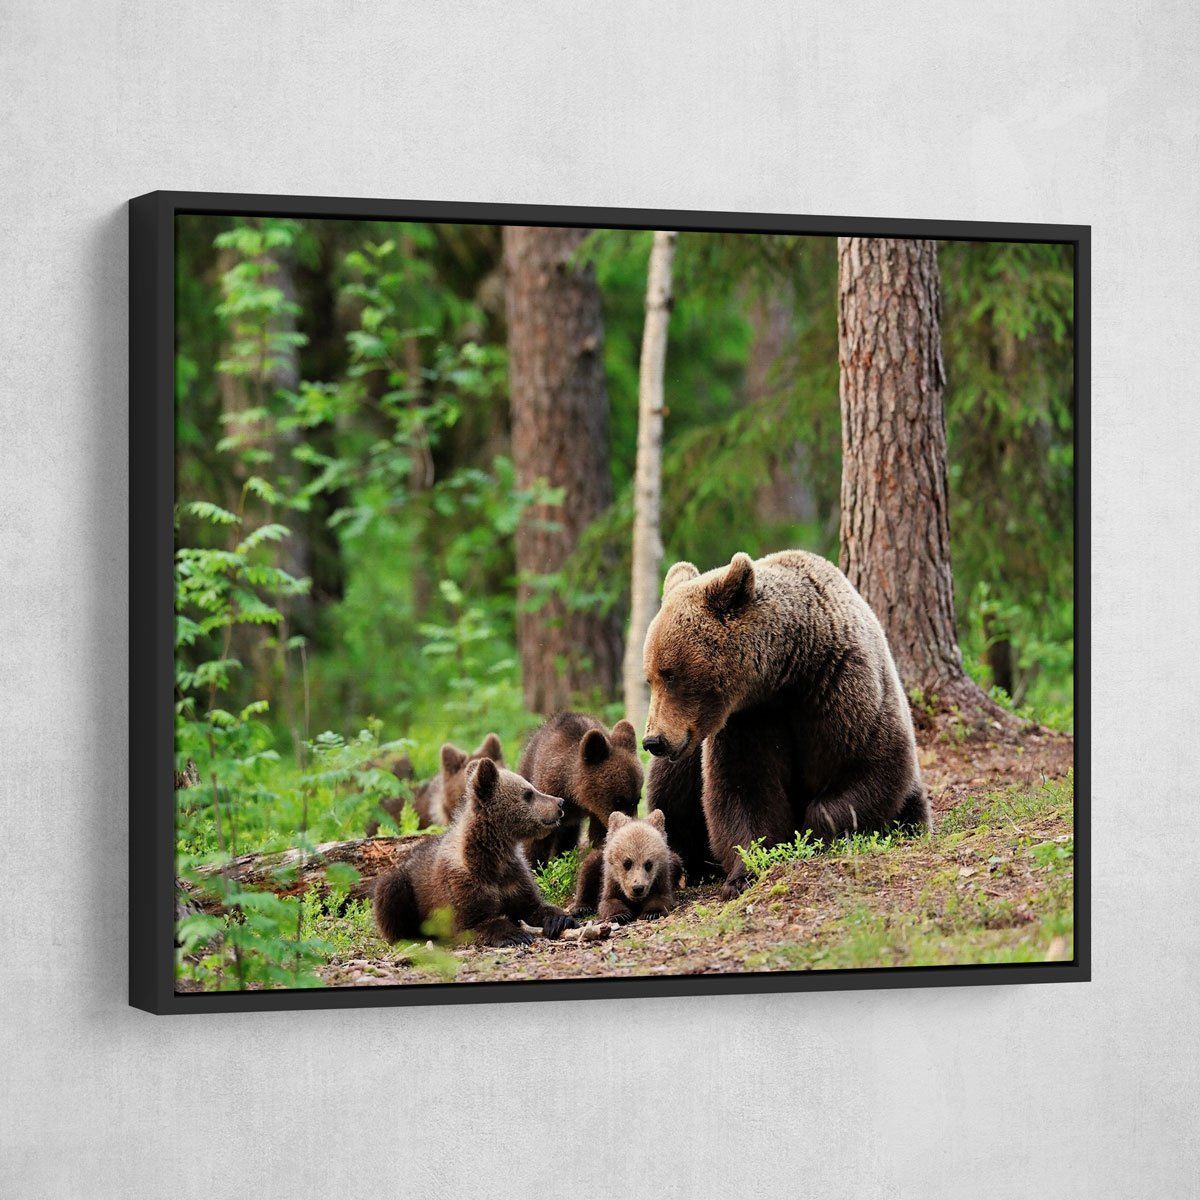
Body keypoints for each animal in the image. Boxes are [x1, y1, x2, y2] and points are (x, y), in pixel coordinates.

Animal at [372, 757, 575, 947]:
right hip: (405, 884)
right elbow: (474, 923)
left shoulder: (513, 877)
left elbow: (532, 906)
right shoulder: (461, 883)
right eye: (528, 794)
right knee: (389, 891)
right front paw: (515, 934)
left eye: (532, 788)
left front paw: (559, 919)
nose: (560, 803)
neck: (493, 855)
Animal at [518, 713, 644, 868]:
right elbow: (539, 837)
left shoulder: (598, 813)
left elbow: (600, 835)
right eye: (618, 800)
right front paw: (536, 866)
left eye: (637, 800)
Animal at [642, 550, 929, 899]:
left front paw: (813, 834)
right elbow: (743, 789)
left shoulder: (844, 689)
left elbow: (868, 766)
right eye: (650, 676)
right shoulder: (748, 720)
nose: (654, 741)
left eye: (670, 673)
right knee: (670, 792)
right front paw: (744, 873)